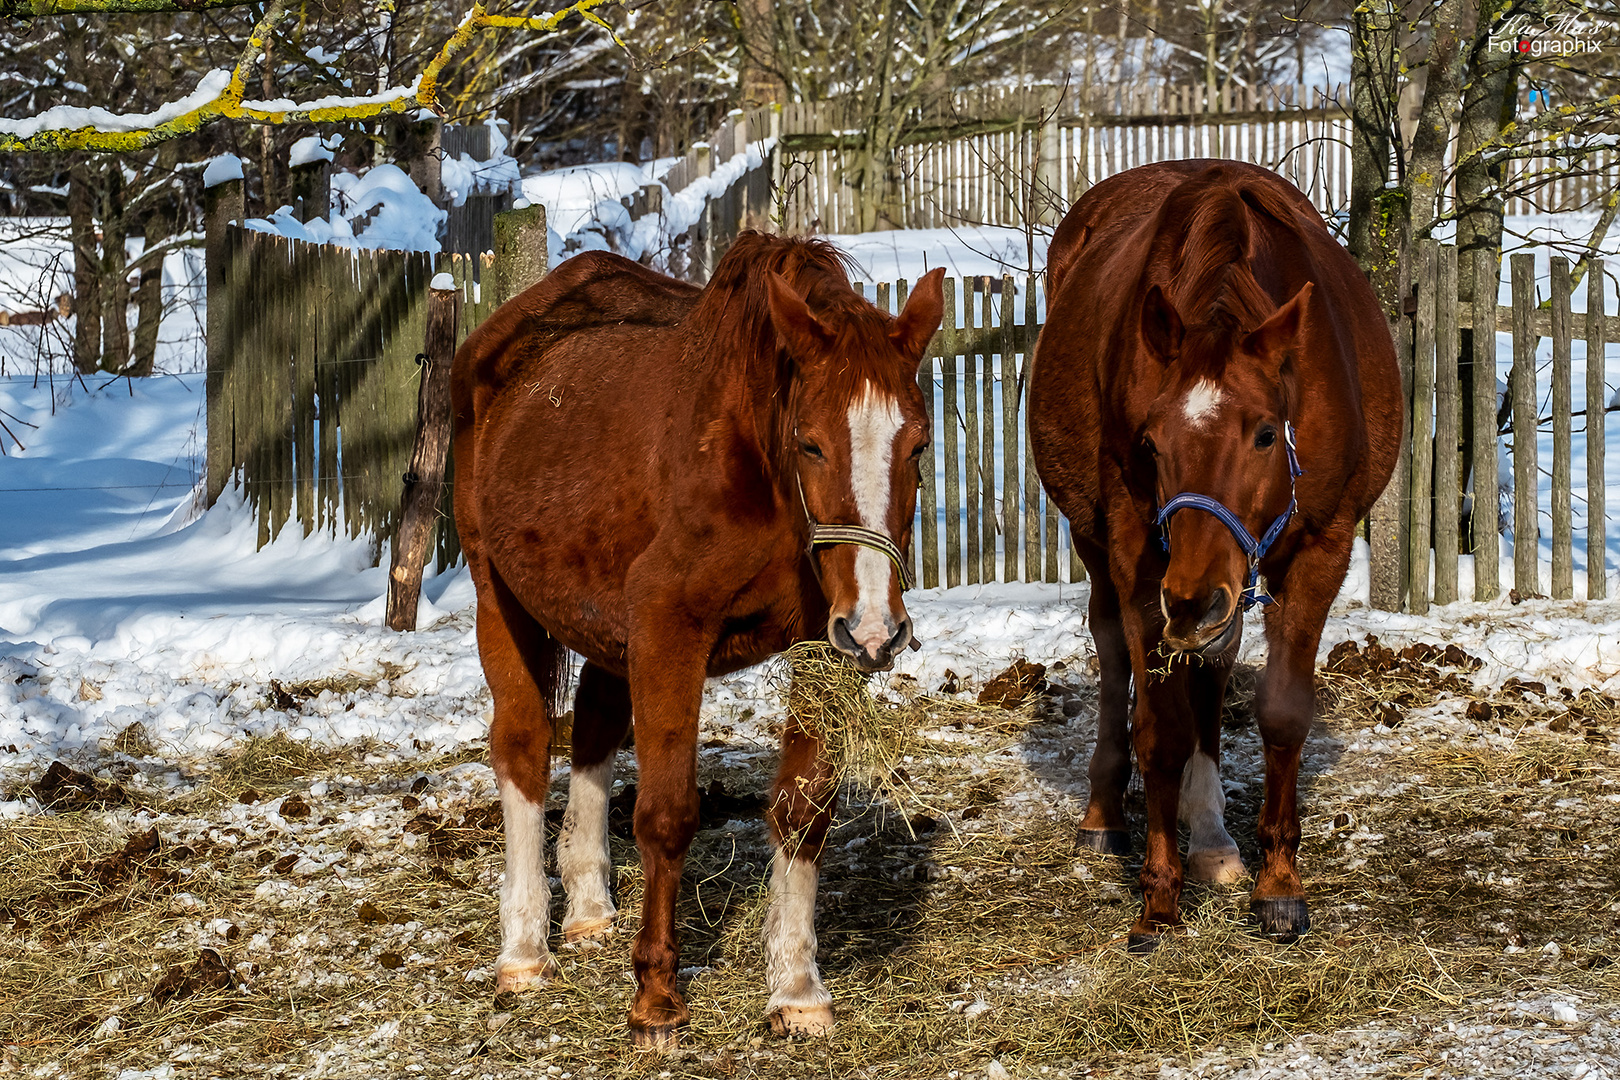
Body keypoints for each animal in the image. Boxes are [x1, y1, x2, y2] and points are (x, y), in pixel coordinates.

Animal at [450, 234, 946, 1049]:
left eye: (918, 445)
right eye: (811, 444)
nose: (879, 628)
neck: (761, 470)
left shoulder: (823, 648)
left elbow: (803, 812)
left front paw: (796, 988)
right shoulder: (669, 630)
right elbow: (667, 815)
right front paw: (656, 996)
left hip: (607, 626)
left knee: (594, 727)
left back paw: (589, 906)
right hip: (501, 597)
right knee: (523, 746)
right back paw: (523, 949)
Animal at [1030, 158, 1399, 945]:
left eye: (1263, 434)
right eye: (1150, 443)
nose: (1193, 597)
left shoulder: (1321, 546)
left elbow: (1282, 712)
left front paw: (1279, 884)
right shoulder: (1142, 557)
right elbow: (1159, 727)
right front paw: (1159, 897)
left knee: (1212, 662)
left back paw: (1213, 839)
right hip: (1102, 546)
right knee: (1116, 653)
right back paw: (1110, 816)